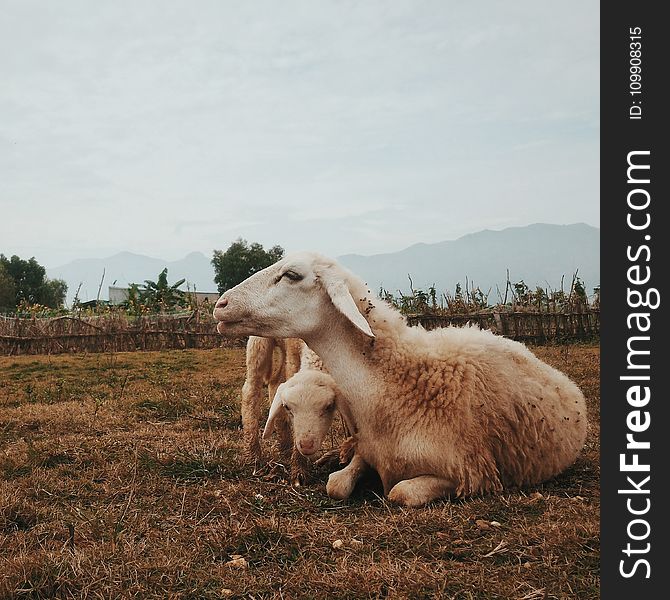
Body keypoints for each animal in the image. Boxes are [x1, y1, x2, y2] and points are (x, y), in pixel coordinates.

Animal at [214, 252, 588, 506]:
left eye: (291, 274)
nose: (220, 304)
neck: (396, 382)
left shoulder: (469, 473)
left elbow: (398, 492)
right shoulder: (368, 450)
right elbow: (336, 485)